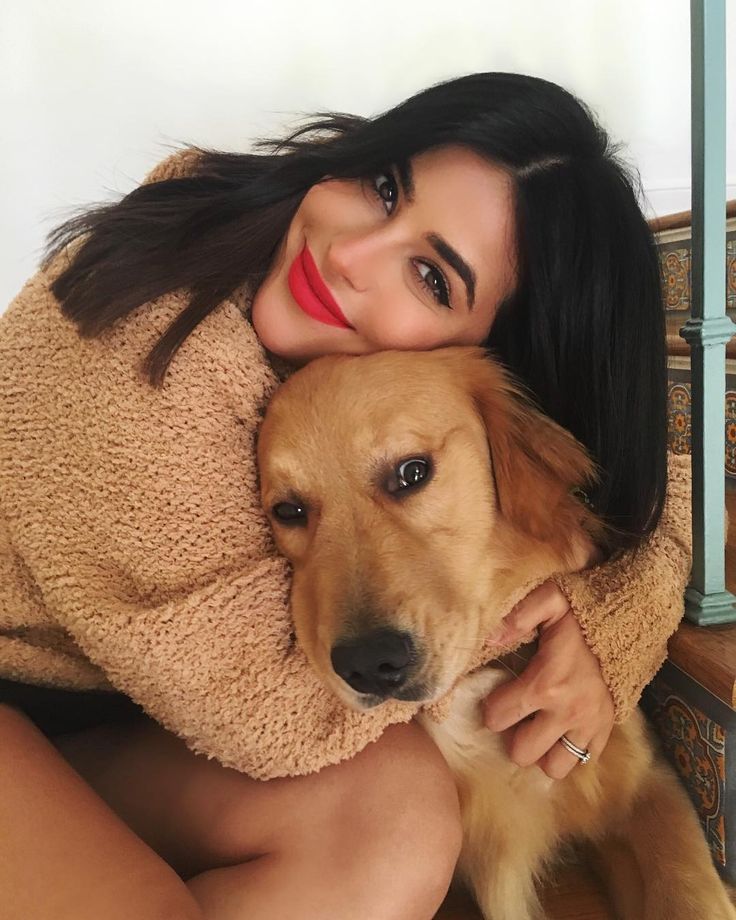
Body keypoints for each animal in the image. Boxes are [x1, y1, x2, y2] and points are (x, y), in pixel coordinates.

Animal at [256, 346, 732, 920]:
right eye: (288, 511)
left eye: (412, 472)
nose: (370, 664)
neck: (475, 683)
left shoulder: (647, 787)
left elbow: (688, 889)